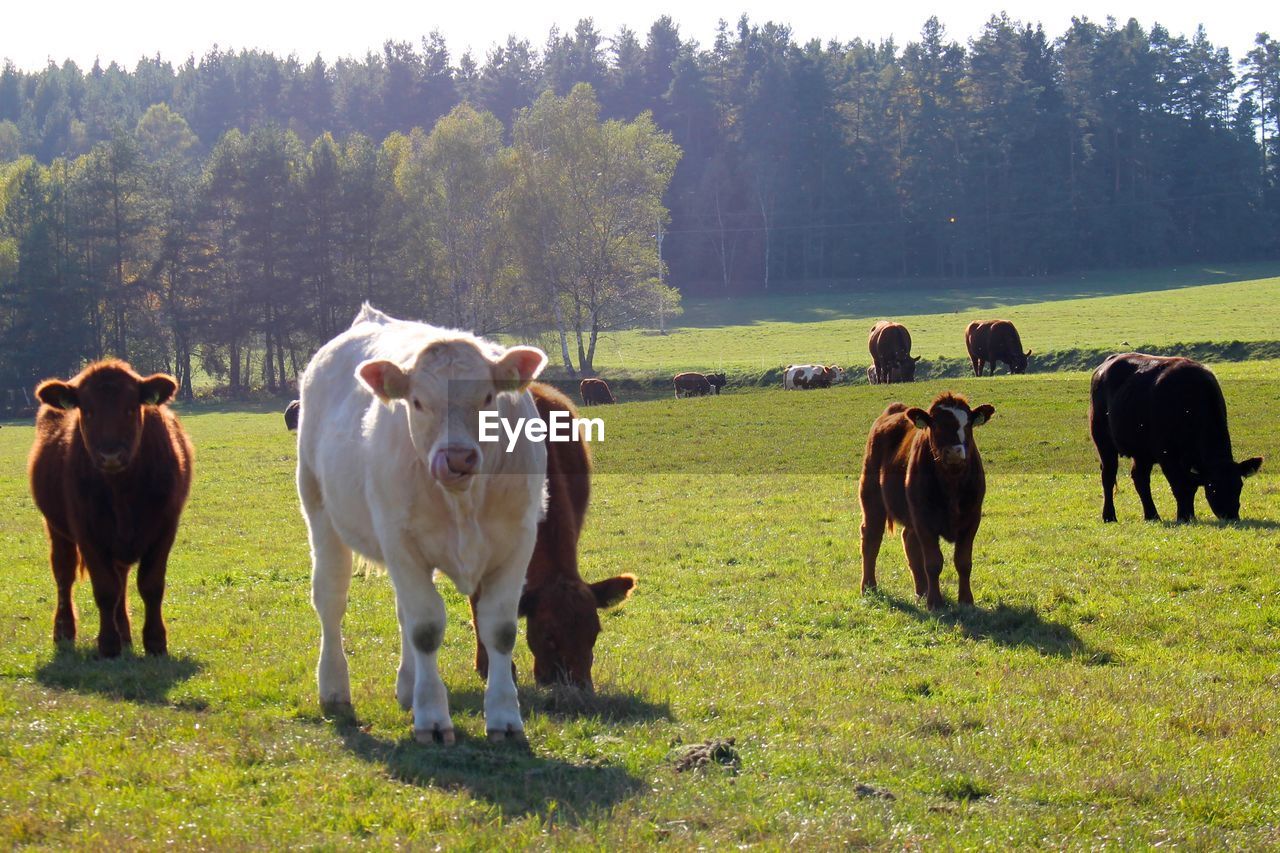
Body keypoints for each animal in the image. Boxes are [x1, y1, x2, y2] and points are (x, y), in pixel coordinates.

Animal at [28, 356, 194, 653]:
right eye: (87, 410)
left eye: (130, 408)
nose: (111, 455)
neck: (122, 492)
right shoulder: (87, 532)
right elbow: (105, 589)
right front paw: (108, 645)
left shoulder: (165, 528)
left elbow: (151, 585)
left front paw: (155, 641)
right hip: (56, 528)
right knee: (64, 574)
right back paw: (64, 631)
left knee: (122, 578)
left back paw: (125, 634)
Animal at [860, 389, 998, 604]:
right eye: (935, 424)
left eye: (967, 424)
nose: (954, 452)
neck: (951, 482)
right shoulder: (924, 519)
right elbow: (933, 562)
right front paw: (935, 602)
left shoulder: (972, 518)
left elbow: (963, 562)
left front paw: (966, 599)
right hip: (872, 499)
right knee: (871, 539)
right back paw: (869, 586)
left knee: (909, 541)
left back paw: (921, 591)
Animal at [1090, 350, 1259, 522]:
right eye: (1213, 487)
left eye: (1239, 486)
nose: (1230, 515)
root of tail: (1106, 364)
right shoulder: (1166, 454)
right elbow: (1180, 486)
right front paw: (1184, 517)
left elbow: (1190, 486)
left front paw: (1189, 515)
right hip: (1103, 440)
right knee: (1108, 475)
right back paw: (1109, 516)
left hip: (1141, 452)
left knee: (1140, 478)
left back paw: (1152, 515)